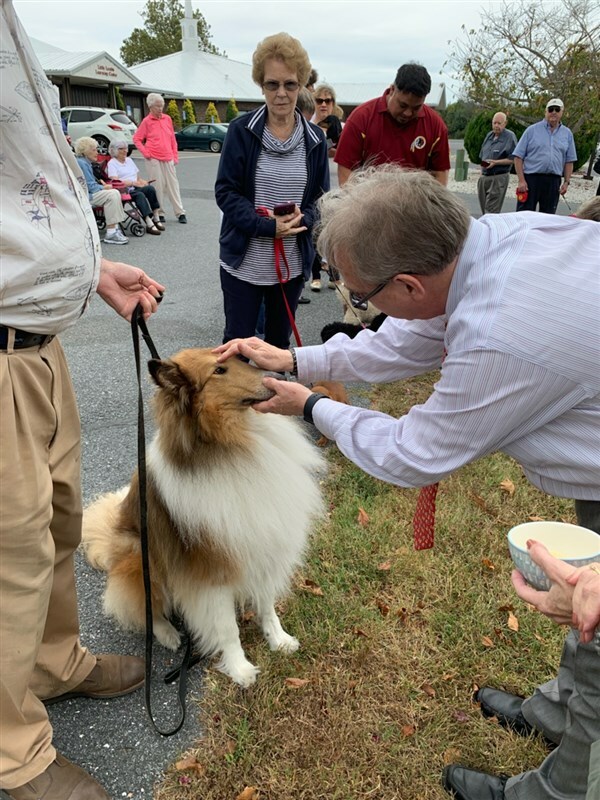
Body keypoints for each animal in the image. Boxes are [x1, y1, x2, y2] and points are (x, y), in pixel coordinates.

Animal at [82, 348, 326, 688]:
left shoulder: (262, 546)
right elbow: (226, 628)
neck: (230, 444)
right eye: (219, 370)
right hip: (142, 559)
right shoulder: (210, 571)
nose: (281, 376)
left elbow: (266, 605)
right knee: (147, 607)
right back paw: (168, 634)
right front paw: (240, 669)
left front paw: (278, 640)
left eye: (241, 358)